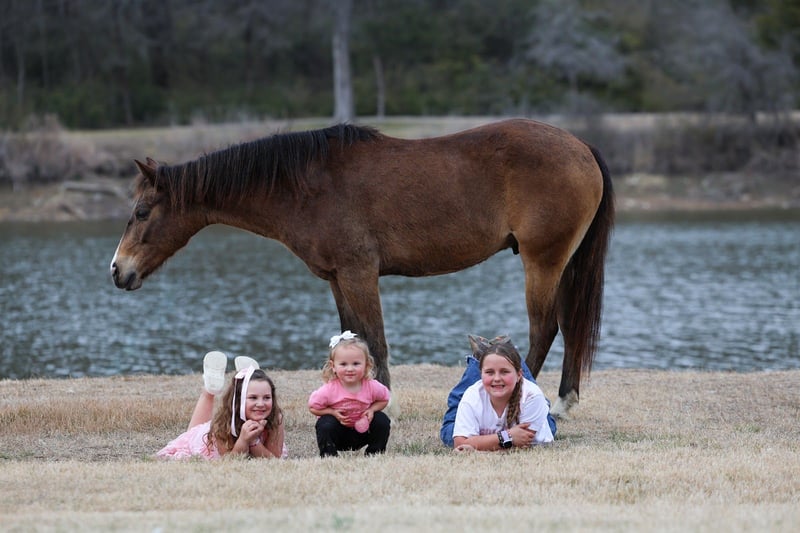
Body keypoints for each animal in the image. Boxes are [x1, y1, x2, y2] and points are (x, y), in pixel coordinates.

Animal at [110, 119, 614, 417]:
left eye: (141, 212)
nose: (118, 270)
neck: (306, 185)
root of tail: (581, 145)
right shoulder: (338, 279)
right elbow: (351, 339)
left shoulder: (359, 274)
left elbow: (375, 342)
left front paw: (381, 405)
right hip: (563, 263)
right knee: (570, 326)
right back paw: (564, 401)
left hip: (542, 261)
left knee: (544, 328)